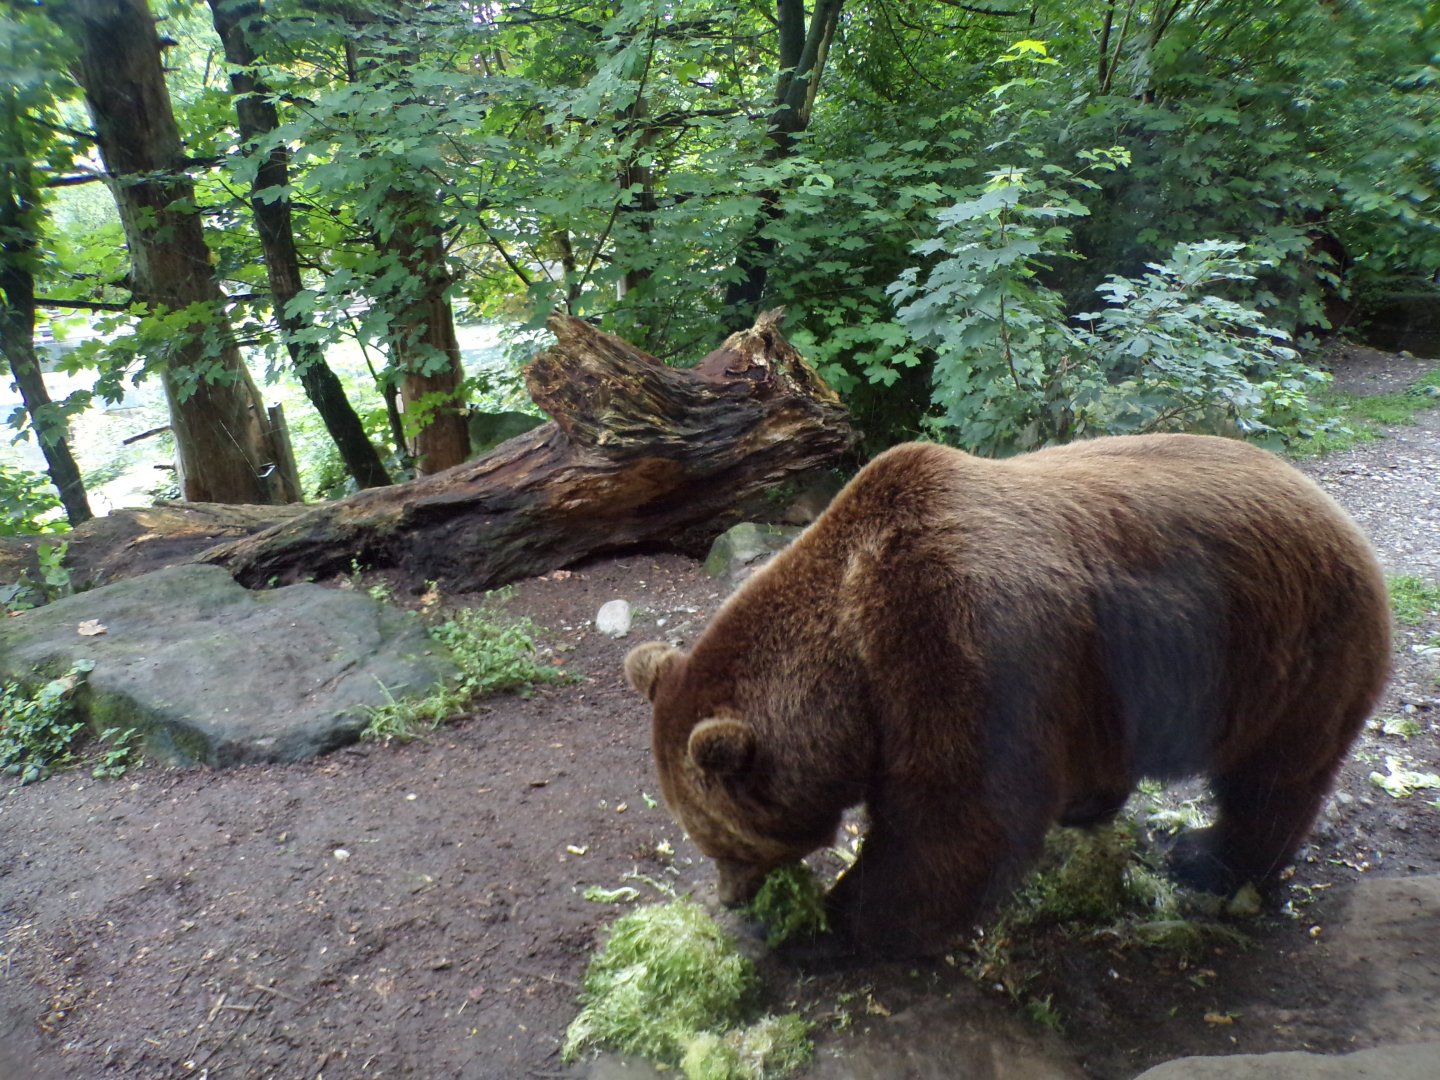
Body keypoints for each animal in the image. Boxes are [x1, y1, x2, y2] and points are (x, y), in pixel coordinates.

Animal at [624, 434, 1391, 959]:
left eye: (722, 839)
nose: (730, 893)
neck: (852, 662)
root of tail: (1341, 518)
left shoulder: (952, 635)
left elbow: (961, 818)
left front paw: (819, 927)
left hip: (1288, 653)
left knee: (1272, 780)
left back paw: (1211, 859)